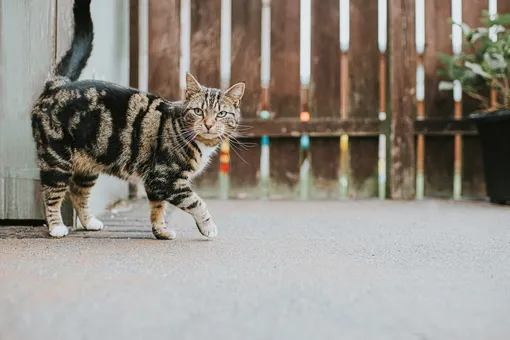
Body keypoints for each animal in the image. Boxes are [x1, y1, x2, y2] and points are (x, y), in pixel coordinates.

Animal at [30, 0, 245, 239]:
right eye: (198, 111)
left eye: (221, 114)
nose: (208, 124)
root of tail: (57, 84)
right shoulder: (166, 178)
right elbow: (197, 202)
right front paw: (208, 227)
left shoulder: (155, 183)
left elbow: (158, 208)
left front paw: (161, 231)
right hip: (56, 159)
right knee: (51, 192)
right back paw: (56, 227)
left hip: (88, 165)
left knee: (79, 192)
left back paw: (89, 222)